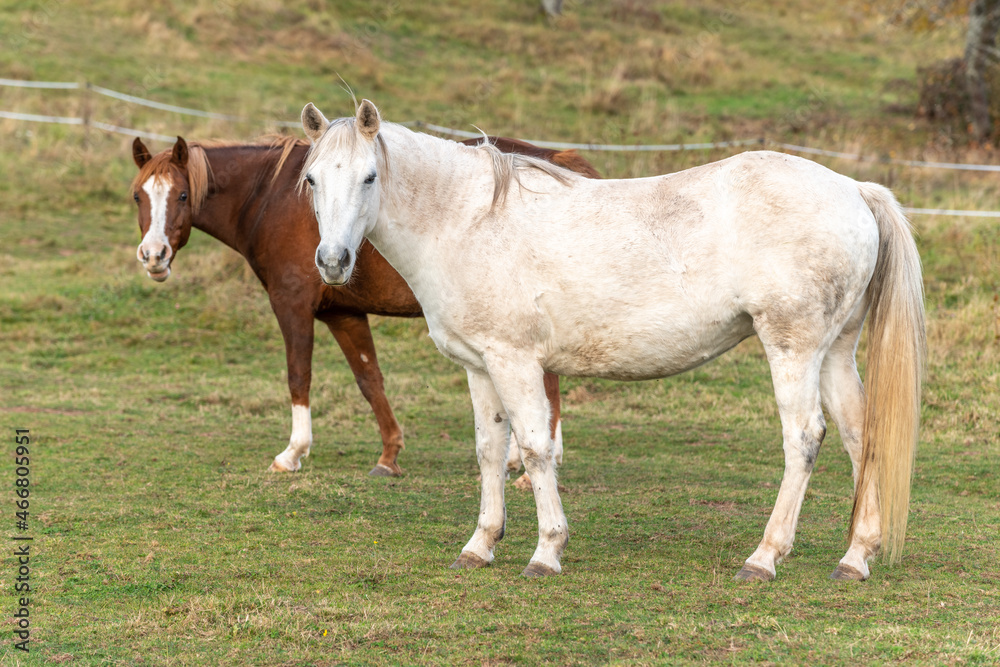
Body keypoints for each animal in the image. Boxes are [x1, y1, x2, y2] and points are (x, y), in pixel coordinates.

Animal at [133, 134, 600, 474]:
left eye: (181, 196)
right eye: (139, 196)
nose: (153, 256)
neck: (271, 197)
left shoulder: (292, 306)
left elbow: (298, 376)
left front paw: (293, 453)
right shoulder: (343, 314)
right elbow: (369, 380)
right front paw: (390, 454)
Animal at [300, 100, 924, 584]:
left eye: (369, 177)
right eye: (311, 179)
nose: (333, 261)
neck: (467, 221)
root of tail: (854, 189)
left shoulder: (515, 362)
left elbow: (534, 448)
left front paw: (546, 551)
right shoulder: (480, 366)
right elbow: (489, 451)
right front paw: (480, 546)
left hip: (793, 348)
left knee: (804, 439)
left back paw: (764, 557)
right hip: (834, 352)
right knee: (861, 435)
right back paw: (855, 557)